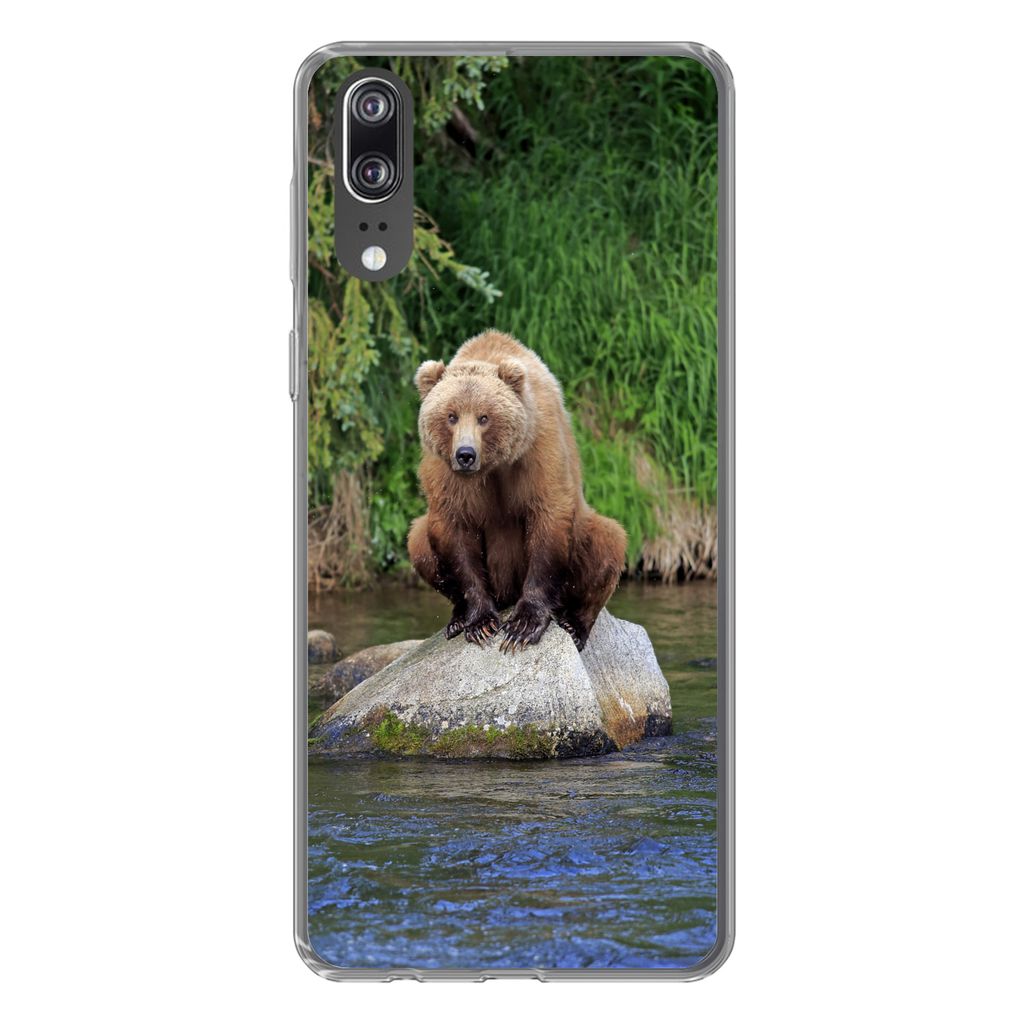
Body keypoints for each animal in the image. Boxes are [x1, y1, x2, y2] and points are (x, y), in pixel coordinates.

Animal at [407, 330, 627, 653]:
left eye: (484, 417)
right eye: (451, 416)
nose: (465, 454)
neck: (493, 466)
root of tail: (506, 594)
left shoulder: (538, 450)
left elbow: (549, 517)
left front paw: (523, 626)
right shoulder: (445, 472)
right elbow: (454, 529)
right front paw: (480, 623)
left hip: (584, 536)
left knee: (607, 540)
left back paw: (574, 624)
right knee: (419, 540)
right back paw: (456, 619)